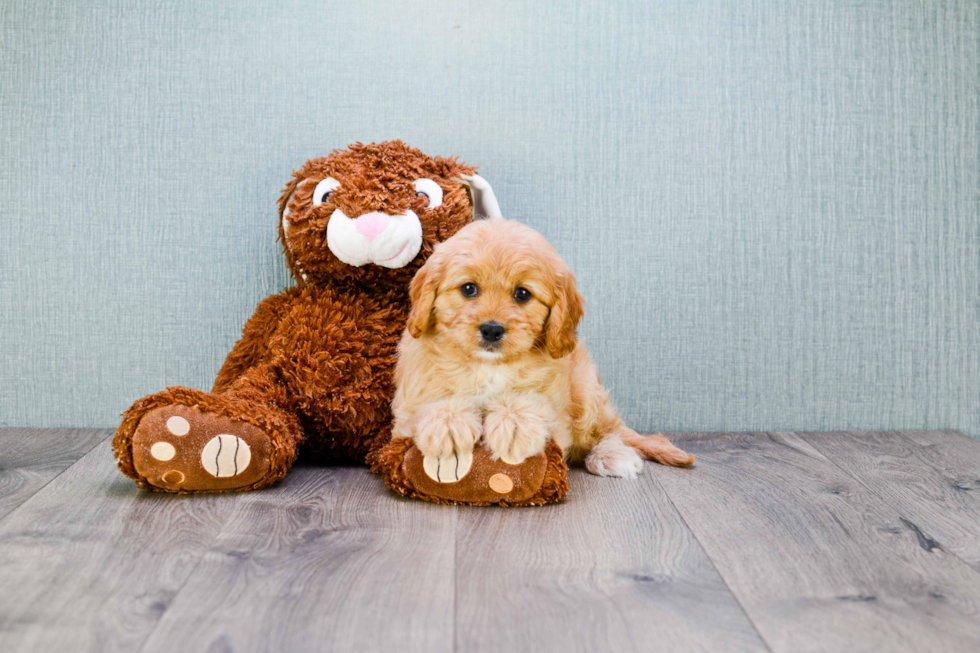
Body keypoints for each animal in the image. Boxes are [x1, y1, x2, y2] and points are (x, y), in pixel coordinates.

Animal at [390, 216, 696, 476]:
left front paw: (514, 424)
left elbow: (532, 402)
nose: (491, 329)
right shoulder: (411, 402)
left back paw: (612, 456)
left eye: (522, 294)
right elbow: (435, 400)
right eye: (468, 289)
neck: (488, 366)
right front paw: (448, 424)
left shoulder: (555, 405)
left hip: (585, 388)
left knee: (607, 431)